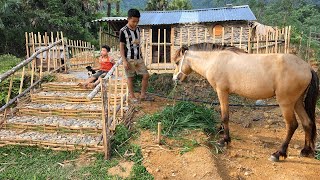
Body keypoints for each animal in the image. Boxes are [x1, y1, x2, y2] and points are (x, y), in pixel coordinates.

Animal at [174, 42, 318, 162]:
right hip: (297, 102)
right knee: (307, 123)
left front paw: (225, 140)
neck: (214, 60)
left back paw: (278, 153)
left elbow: (225, 116)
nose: (175, 78)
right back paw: (306, 151)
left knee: (292, 125)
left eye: (176, 62)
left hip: (286, 103)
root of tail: (307, 67)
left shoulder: (222, 92)